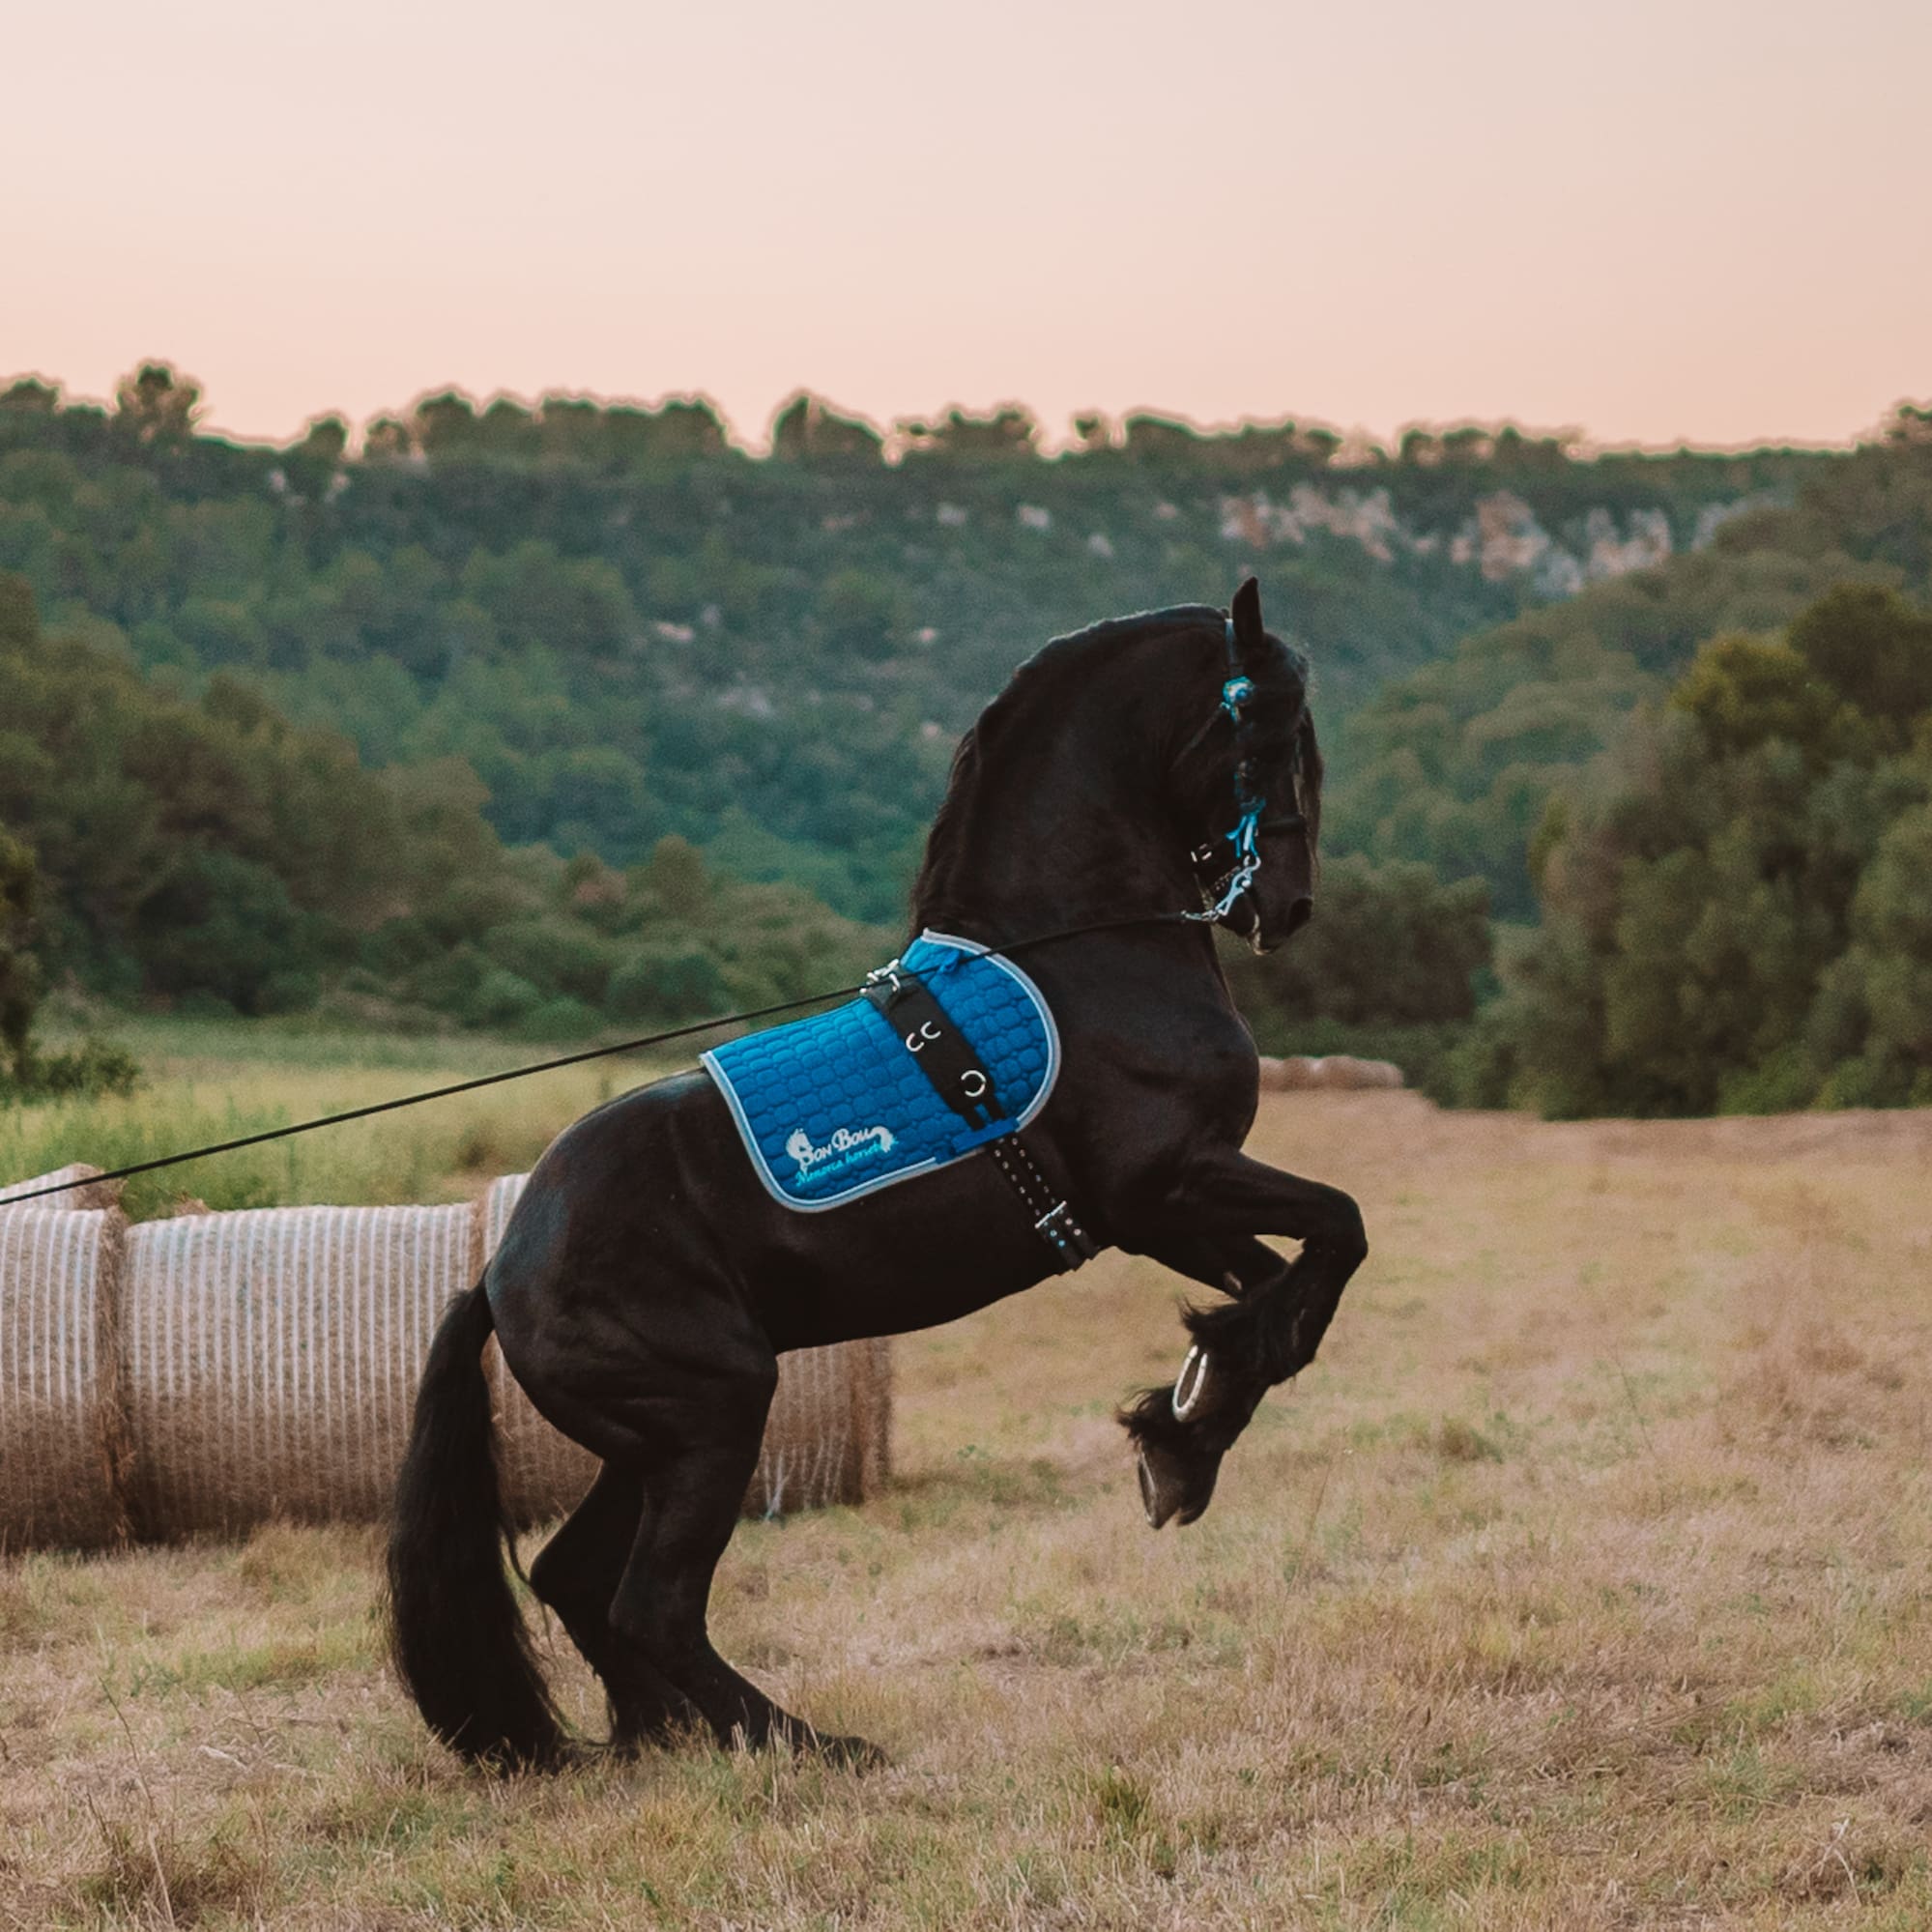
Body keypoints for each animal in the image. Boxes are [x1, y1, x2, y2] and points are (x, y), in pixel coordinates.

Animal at [387, 576, 1367, 1769]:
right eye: (1263, 727)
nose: (1286, 906)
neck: (1077, 953)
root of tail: (498, 1267)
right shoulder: (1166, 1182)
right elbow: (1336, 1236)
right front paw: (1179, 1437)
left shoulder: (1159, 1212)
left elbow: (1280, 1290)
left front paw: (1186, 1426)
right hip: (715, 1416)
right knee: (648, 1603)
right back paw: (806, 1743)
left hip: (648, 1440)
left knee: (571, 1577)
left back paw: (658, 1740)